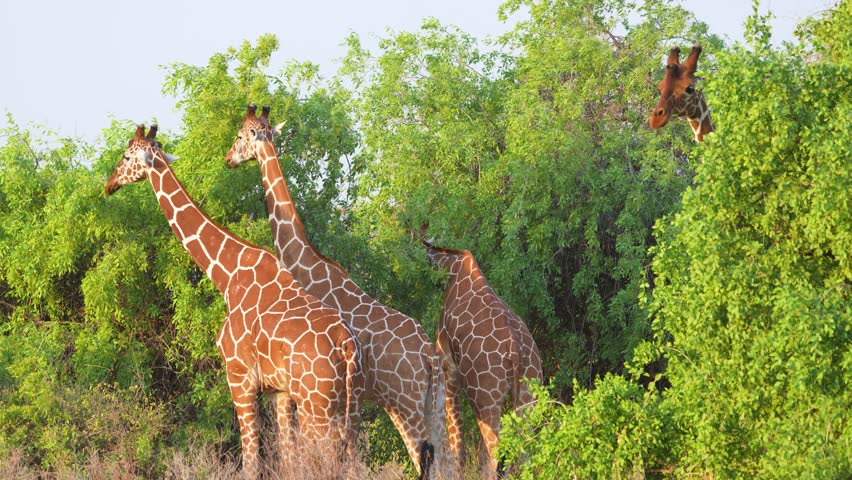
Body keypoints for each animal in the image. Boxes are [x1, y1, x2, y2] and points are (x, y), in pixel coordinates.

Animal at [105, 124, 364, 478]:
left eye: (127, 156)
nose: (109, 184)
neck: (226, 276)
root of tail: (346, 346)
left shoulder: (239, 378)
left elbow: (251, 461)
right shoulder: (279, 390)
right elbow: (286, 458)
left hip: (316, 403)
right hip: (348, 405)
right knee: (353, 458)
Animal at [224, 105, 450, 480]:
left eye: (241, 136)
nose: (228, 158)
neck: (303, 259)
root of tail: (429, 356)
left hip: (405, 404)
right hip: (435, 405)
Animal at [421, 237, 542, 480]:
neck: (452, 266)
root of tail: (516, 351)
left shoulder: (448, 364)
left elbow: (454, 430)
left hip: (485, 397)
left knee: (496, 449)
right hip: (528, 394)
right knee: (523, 449)